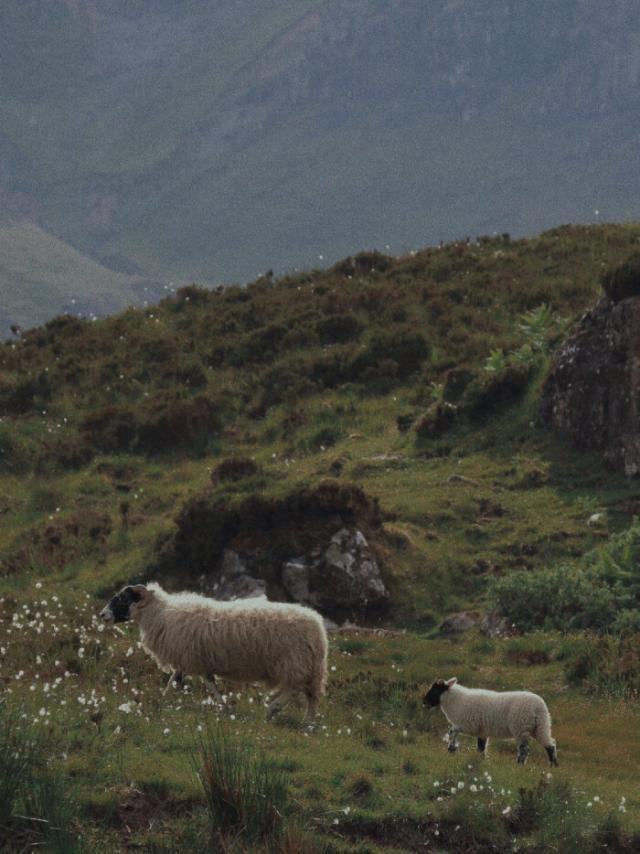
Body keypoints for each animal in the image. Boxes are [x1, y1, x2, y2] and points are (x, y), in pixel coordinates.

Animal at [101, 580, 330, 724]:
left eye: (121, 599)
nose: (103, 615)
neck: (159, 615)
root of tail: (317, 626)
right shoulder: (191, 660)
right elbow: (178, 682)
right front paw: (161, 703)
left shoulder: (192, 659)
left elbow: (204, 684)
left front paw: (224, 708)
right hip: (309, 666)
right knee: (311, 696)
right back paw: (307, 722)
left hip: (294, 662)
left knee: (296, 688)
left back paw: (272, 709)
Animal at [422, 680, 556, 764]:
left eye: (435, 690)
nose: (424, 702)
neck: (456, 701)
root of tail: (539, 707)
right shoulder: (482, 732)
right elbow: (481, 748)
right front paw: (481, 761)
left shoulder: (468, 725)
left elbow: (451, 731)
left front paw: (451, 749)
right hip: (541, 726)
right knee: (550, 745)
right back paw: (553, 766)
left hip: (521, 728)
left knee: (524, 750)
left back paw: (519, 765)